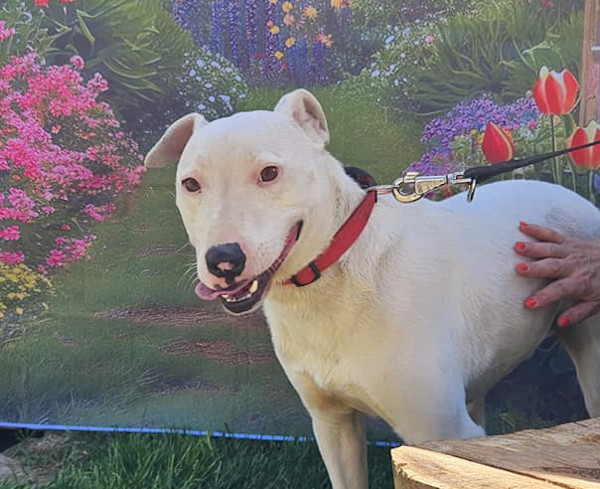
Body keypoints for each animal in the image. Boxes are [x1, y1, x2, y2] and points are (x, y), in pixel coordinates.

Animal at [145, 89, 600, 489]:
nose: (223, 260)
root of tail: (565, 191)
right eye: (190, 184)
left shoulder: (444, 437)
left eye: (269, 173)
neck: (332, 278)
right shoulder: (333, 424)